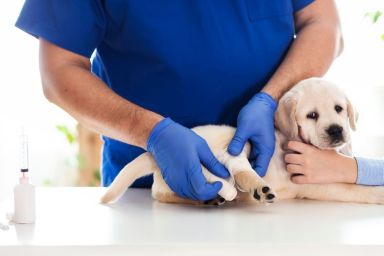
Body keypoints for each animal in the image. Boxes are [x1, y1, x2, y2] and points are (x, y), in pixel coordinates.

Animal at [100, 77, 384, 205]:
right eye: (312, 115)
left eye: (339, 109)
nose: (336, 130)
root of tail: (154, 154)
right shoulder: (316, 184)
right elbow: (358, 189)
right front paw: (378, 193)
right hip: (225, 147)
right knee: (227, 174)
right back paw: (248, 189)